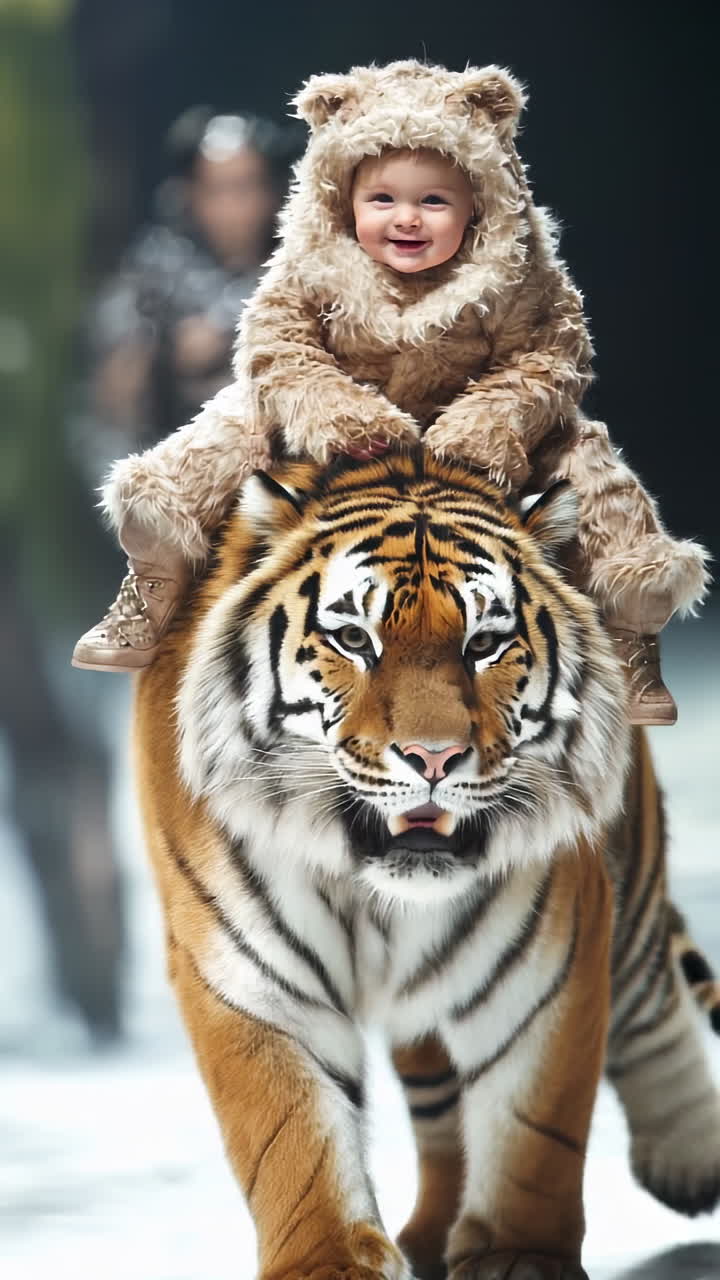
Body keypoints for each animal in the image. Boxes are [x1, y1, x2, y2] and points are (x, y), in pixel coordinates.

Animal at [134, 450, 720, 1280]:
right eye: (353, 638)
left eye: (484, 643)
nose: (434, 757)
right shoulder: (252, 973)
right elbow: (290, 1134)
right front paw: (330, 1262)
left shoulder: (546, 963)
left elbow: (532, 1126)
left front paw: (517, 1254)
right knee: (443, 1110)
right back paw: (432, 1235)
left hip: (628, 885)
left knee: (652, 997)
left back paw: (688, 1160)